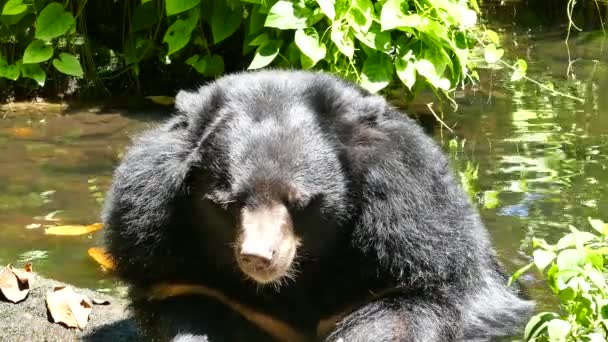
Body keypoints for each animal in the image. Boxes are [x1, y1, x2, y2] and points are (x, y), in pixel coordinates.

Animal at [102, 70, 536, 342]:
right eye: (228, 203)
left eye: (300, 202)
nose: (258, 258)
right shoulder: (170, 257)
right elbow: (190, 311)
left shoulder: (410, 242)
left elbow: (398, 314)